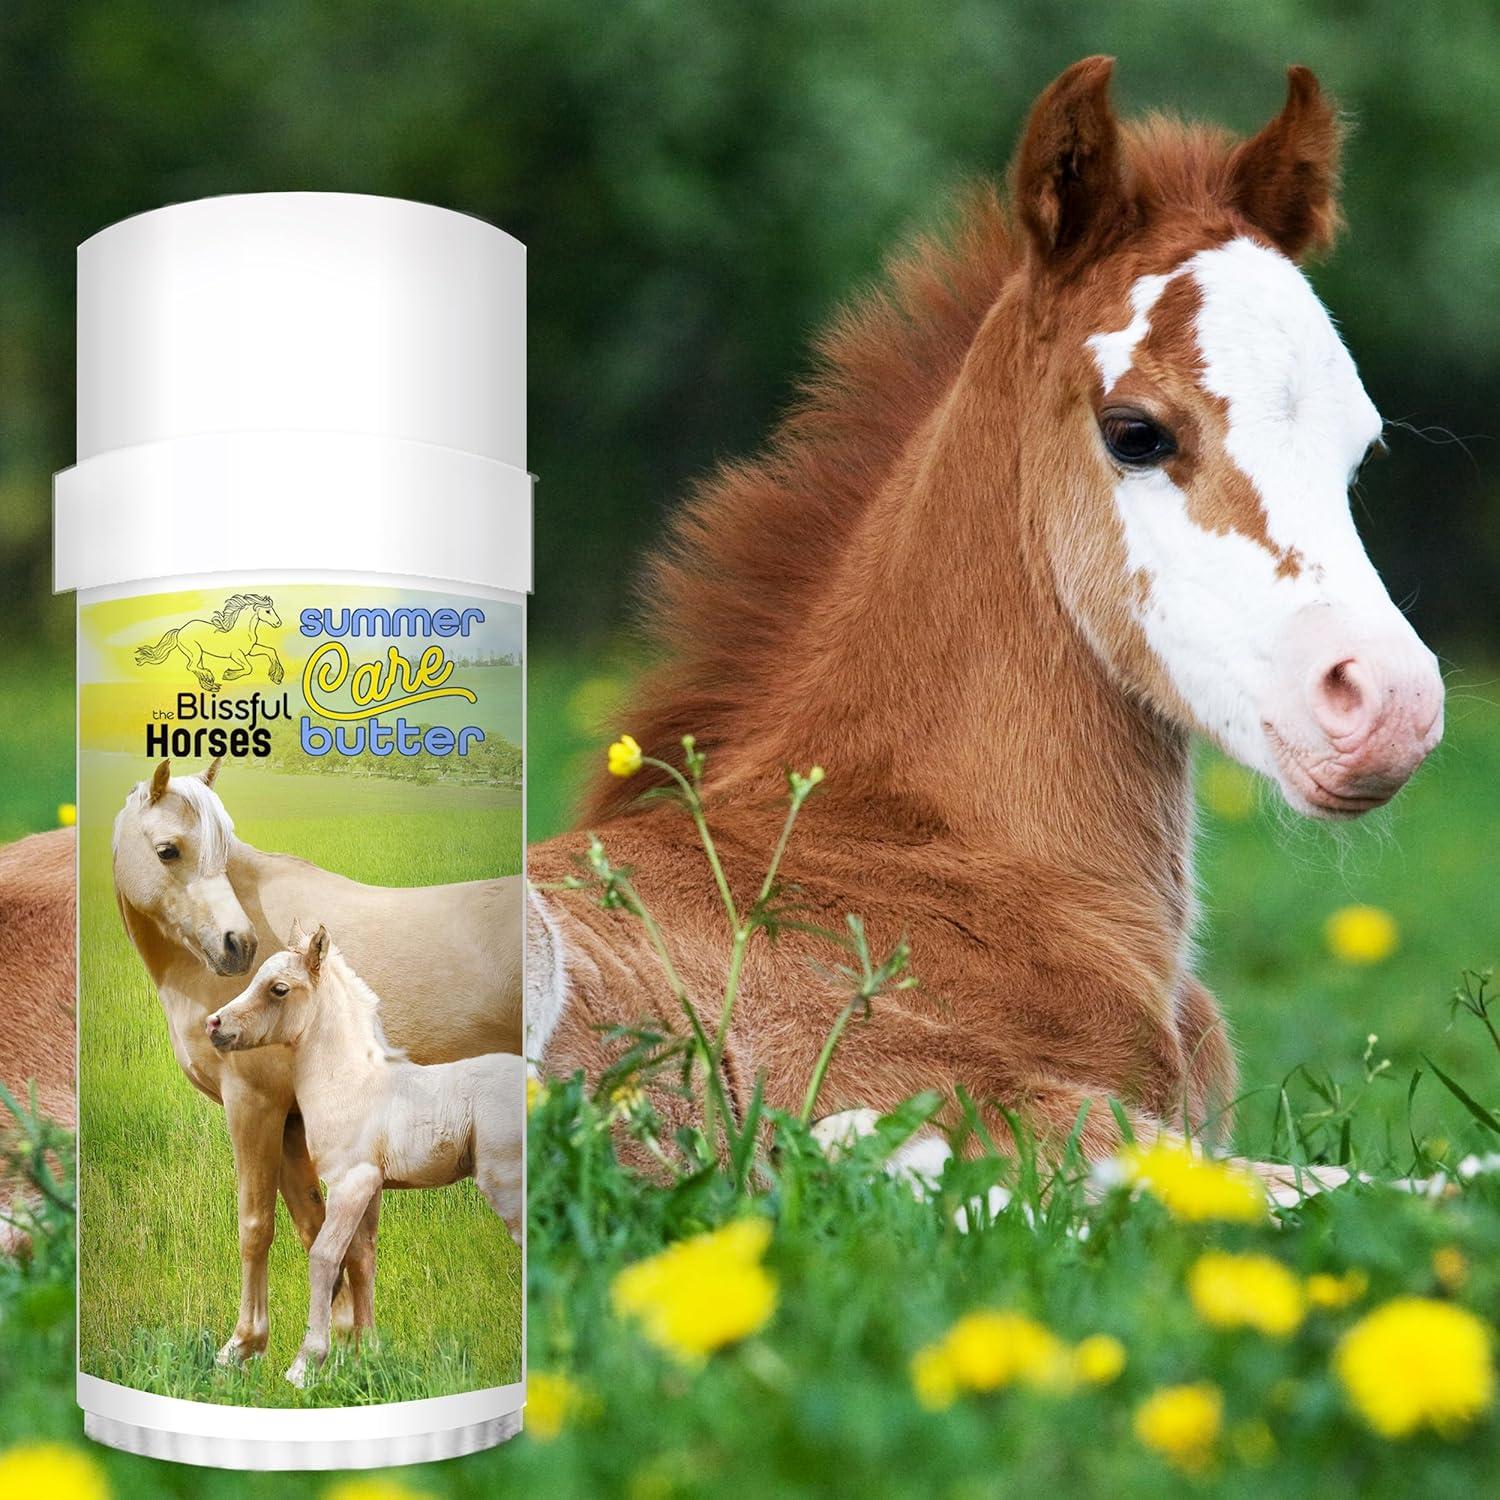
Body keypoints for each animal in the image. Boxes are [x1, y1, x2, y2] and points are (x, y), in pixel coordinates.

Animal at [134, 592, 285, 693]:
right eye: (267, 611)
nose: (279, 623)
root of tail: (179, 630)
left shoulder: (250, 650)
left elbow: (271, 651)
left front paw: (276, 677)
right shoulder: (236, 654)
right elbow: (249, 668)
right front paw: (227, 675)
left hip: (198, 654)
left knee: (195, 667)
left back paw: (210, 685)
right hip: (195, 652)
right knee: (191, 667)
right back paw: (209, 677)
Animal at [206, 923, 525, 1387]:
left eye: (279, 988)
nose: (213, 1024)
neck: (350, 1082)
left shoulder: (349, 1182)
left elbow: (325, 1257)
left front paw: (305, 1364)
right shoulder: (371, 1186)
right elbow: (361, 1260)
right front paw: (368, 1359)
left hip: (507, 1184)